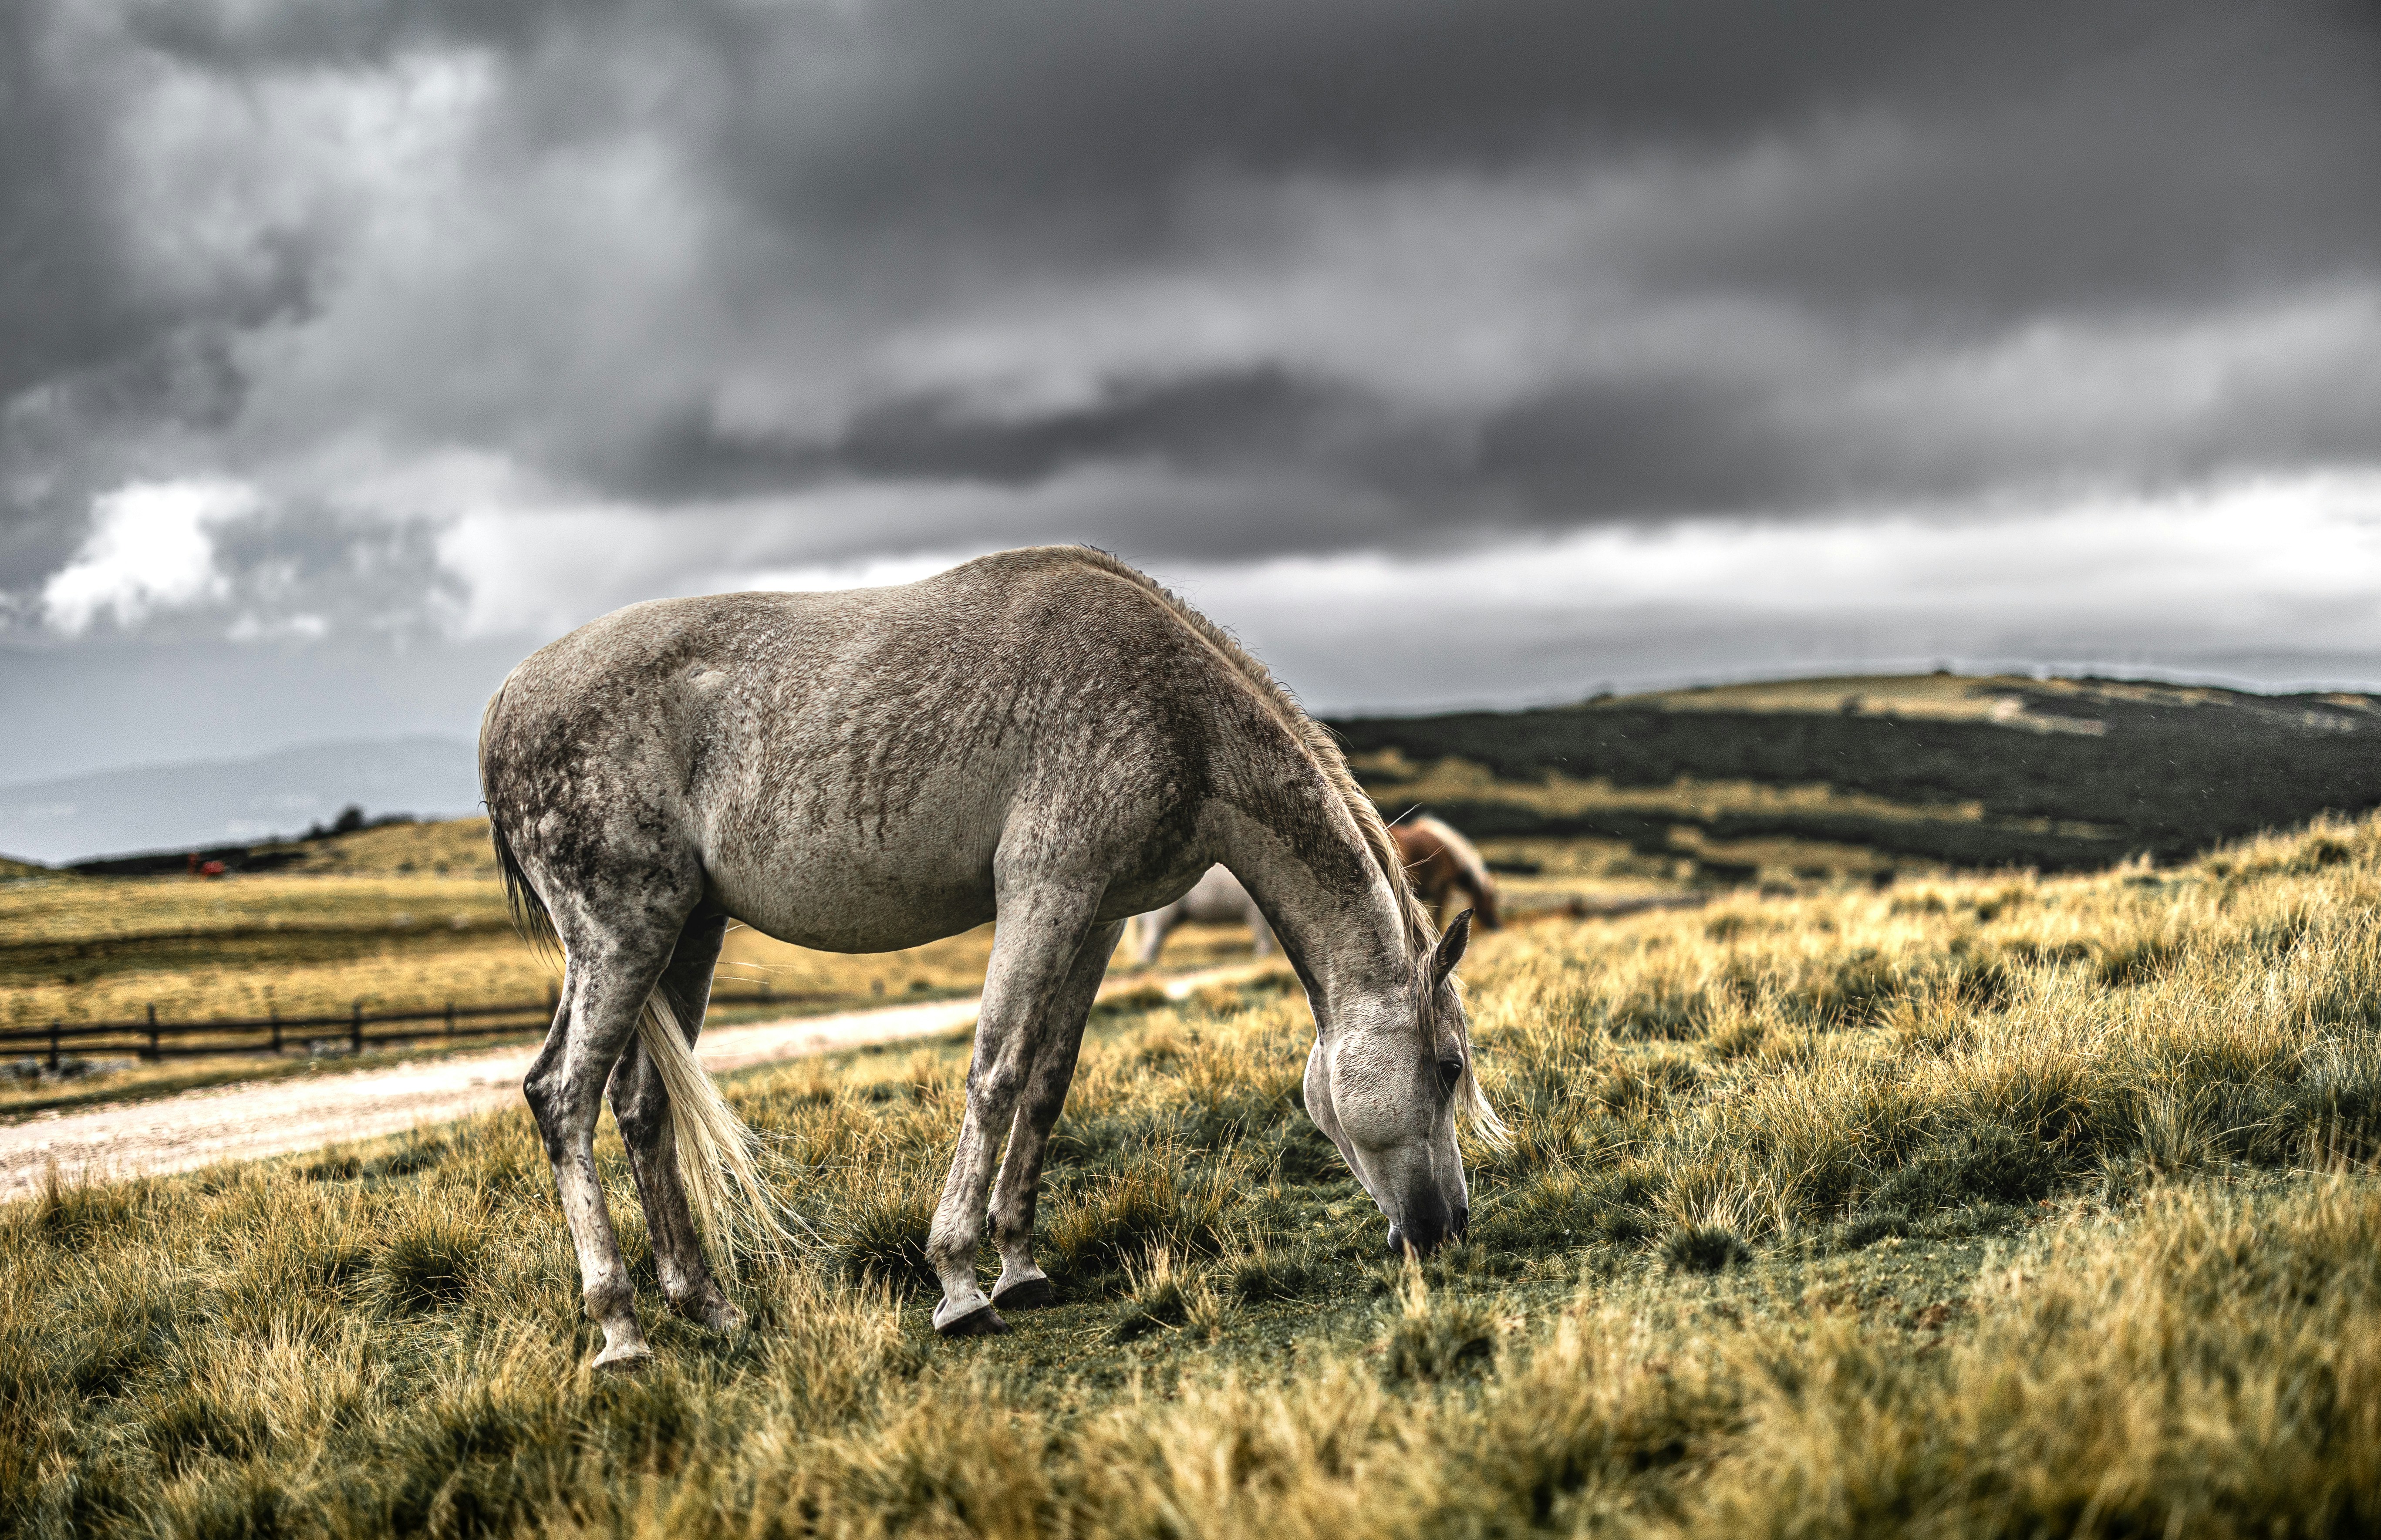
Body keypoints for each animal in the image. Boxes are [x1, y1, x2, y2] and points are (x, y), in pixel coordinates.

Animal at [1130, 864, 1274, 965]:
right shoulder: (1254, 912)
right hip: (1163, 915)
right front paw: (1263, 956)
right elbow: (1262, 932)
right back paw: (1145, 963)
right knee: (1152, 937)